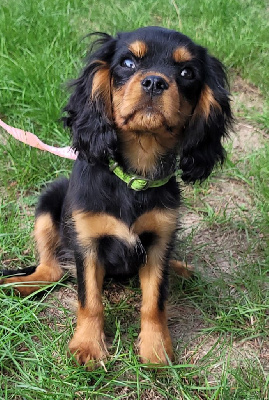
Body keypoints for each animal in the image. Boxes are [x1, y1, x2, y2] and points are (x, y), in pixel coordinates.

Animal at [0, 25, 231, 368]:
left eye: (187, 72)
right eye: (127, 63)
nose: (154, 81)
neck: (134, 177)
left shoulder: (159, 240)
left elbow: (154, 301)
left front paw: (156, 350)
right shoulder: (87, 242)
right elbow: (90, 300)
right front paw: (87, 347)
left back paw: (180, 268)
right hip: (49, 202)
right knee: (51, 270)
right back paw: (20, 284)